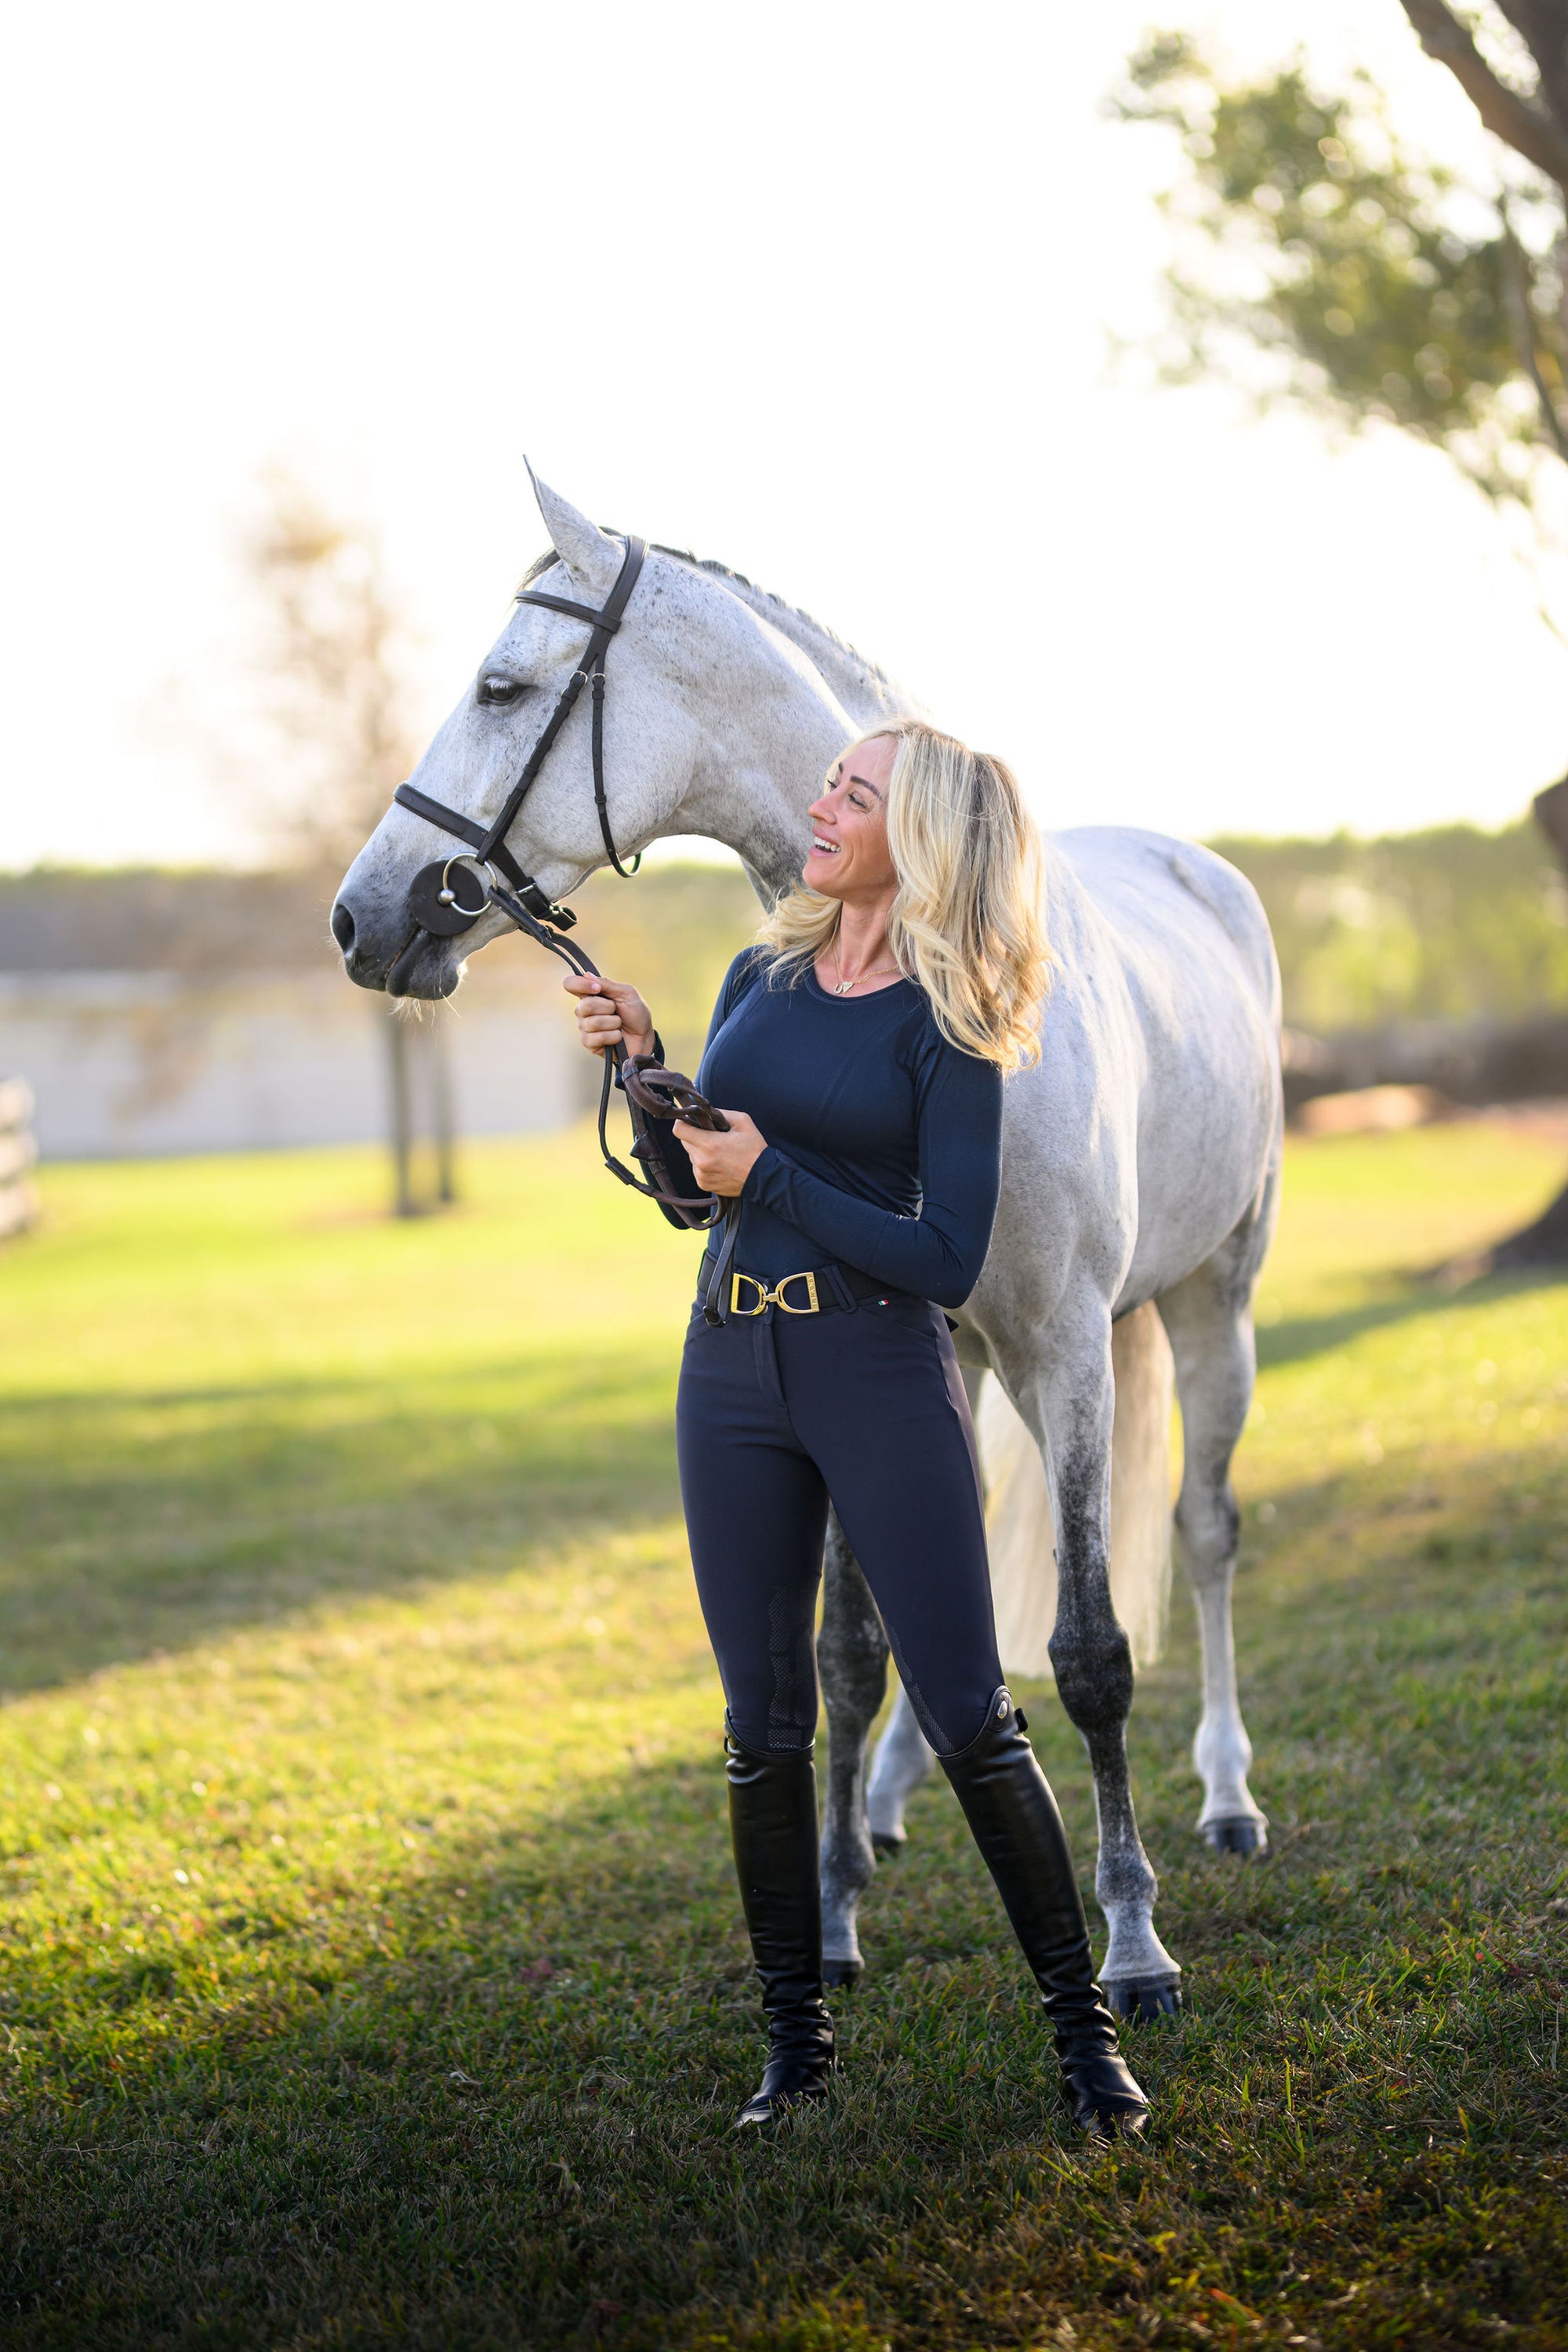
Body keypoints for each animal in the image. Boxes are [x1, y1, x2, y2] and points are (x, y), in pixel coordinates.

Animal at [331, 468, 1279, 2013]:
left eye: (500, 685)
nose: (359, 919)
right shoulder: (906, 1356)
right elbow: (848, 1650)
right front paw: (831, 1916)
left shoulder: (1073, 1346)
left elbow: (1090, 1654)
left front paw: (1134, 1947)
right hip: (976, 1364)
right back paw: (893, 1802)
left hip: (1208, 1310)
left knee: (1202, 1532)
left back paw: (1229, 1797)